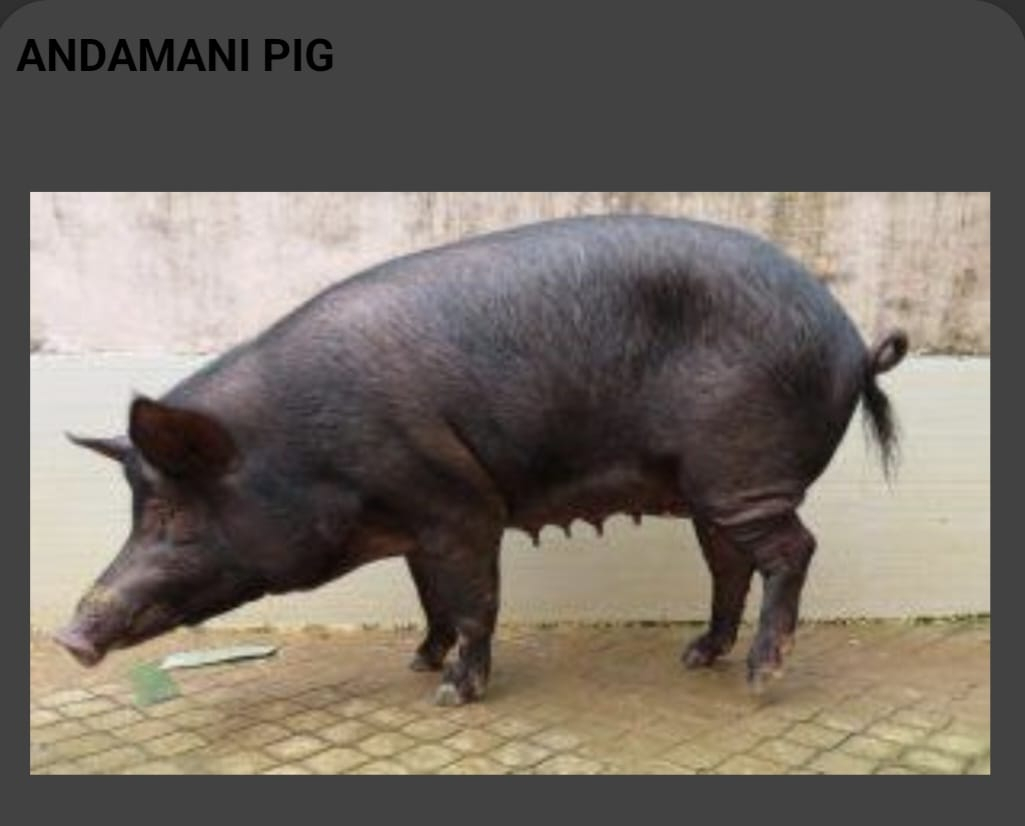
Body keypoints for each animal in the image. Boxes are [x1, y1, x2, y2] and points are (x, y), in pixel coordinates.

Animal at [57, 214, 908, 704]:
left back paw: (761, 678)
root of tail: (851, 341)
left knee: (792, 549)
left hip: (741, 471)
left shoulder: (458, 504)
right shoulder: (412, 524)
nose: (69, 638)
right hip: (707, 486)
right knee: (729, 563)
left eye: (171, 512)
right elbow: (429, 598)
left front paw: (449, 695)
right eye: (136, 508)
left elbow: (472, 600)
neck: (299, 448)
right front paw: (417, 663)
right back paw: (696, 658)